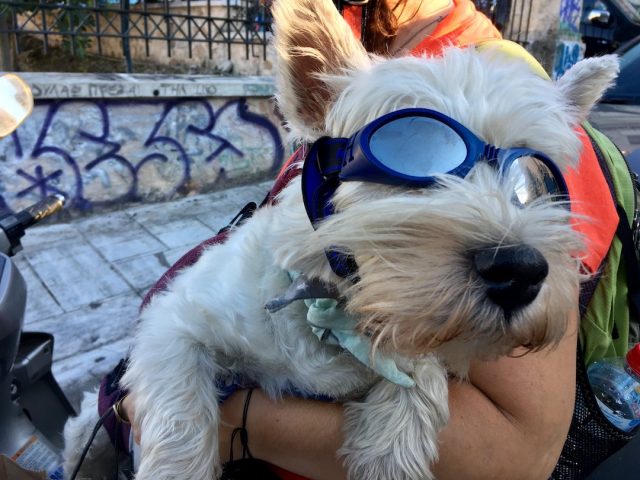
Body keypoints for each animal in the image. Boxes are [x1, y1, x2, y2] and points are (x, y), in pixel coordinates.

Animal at [62, 0, 616, 480]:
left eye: (533, 180)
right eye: (412, 154)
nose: (522, 271)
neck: (328, 310)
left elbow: (421, 367)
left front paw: (390, 444)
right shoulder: (174, 324)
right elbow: (179, 413)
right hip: (89, 427)